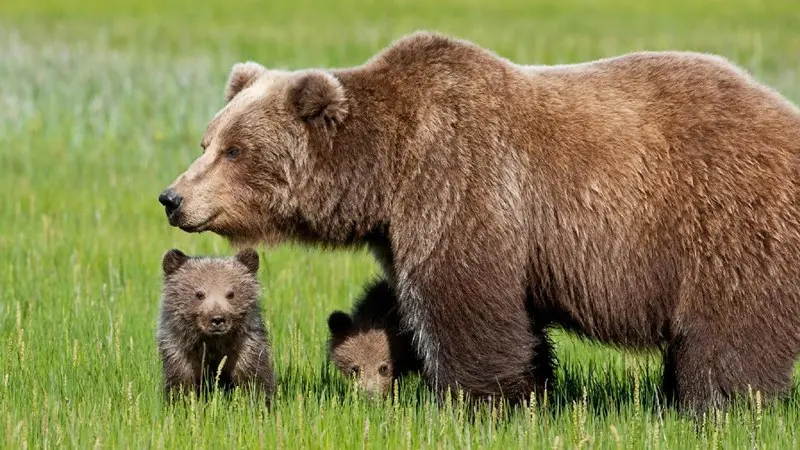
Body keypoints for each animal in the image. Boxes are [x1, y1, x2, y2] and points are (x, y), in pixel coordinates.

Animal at [159, 31, 800, 414]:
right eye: (208, 141)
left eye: (235, 150)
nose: (172, 197)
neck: (385, 170)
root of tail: (784, 112)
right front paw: (533, 389)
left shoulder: (461, 181)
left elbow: (464, 300)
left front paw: (479, 401)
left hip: (725, 221)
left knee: (730, 328)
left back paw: (717, 404)